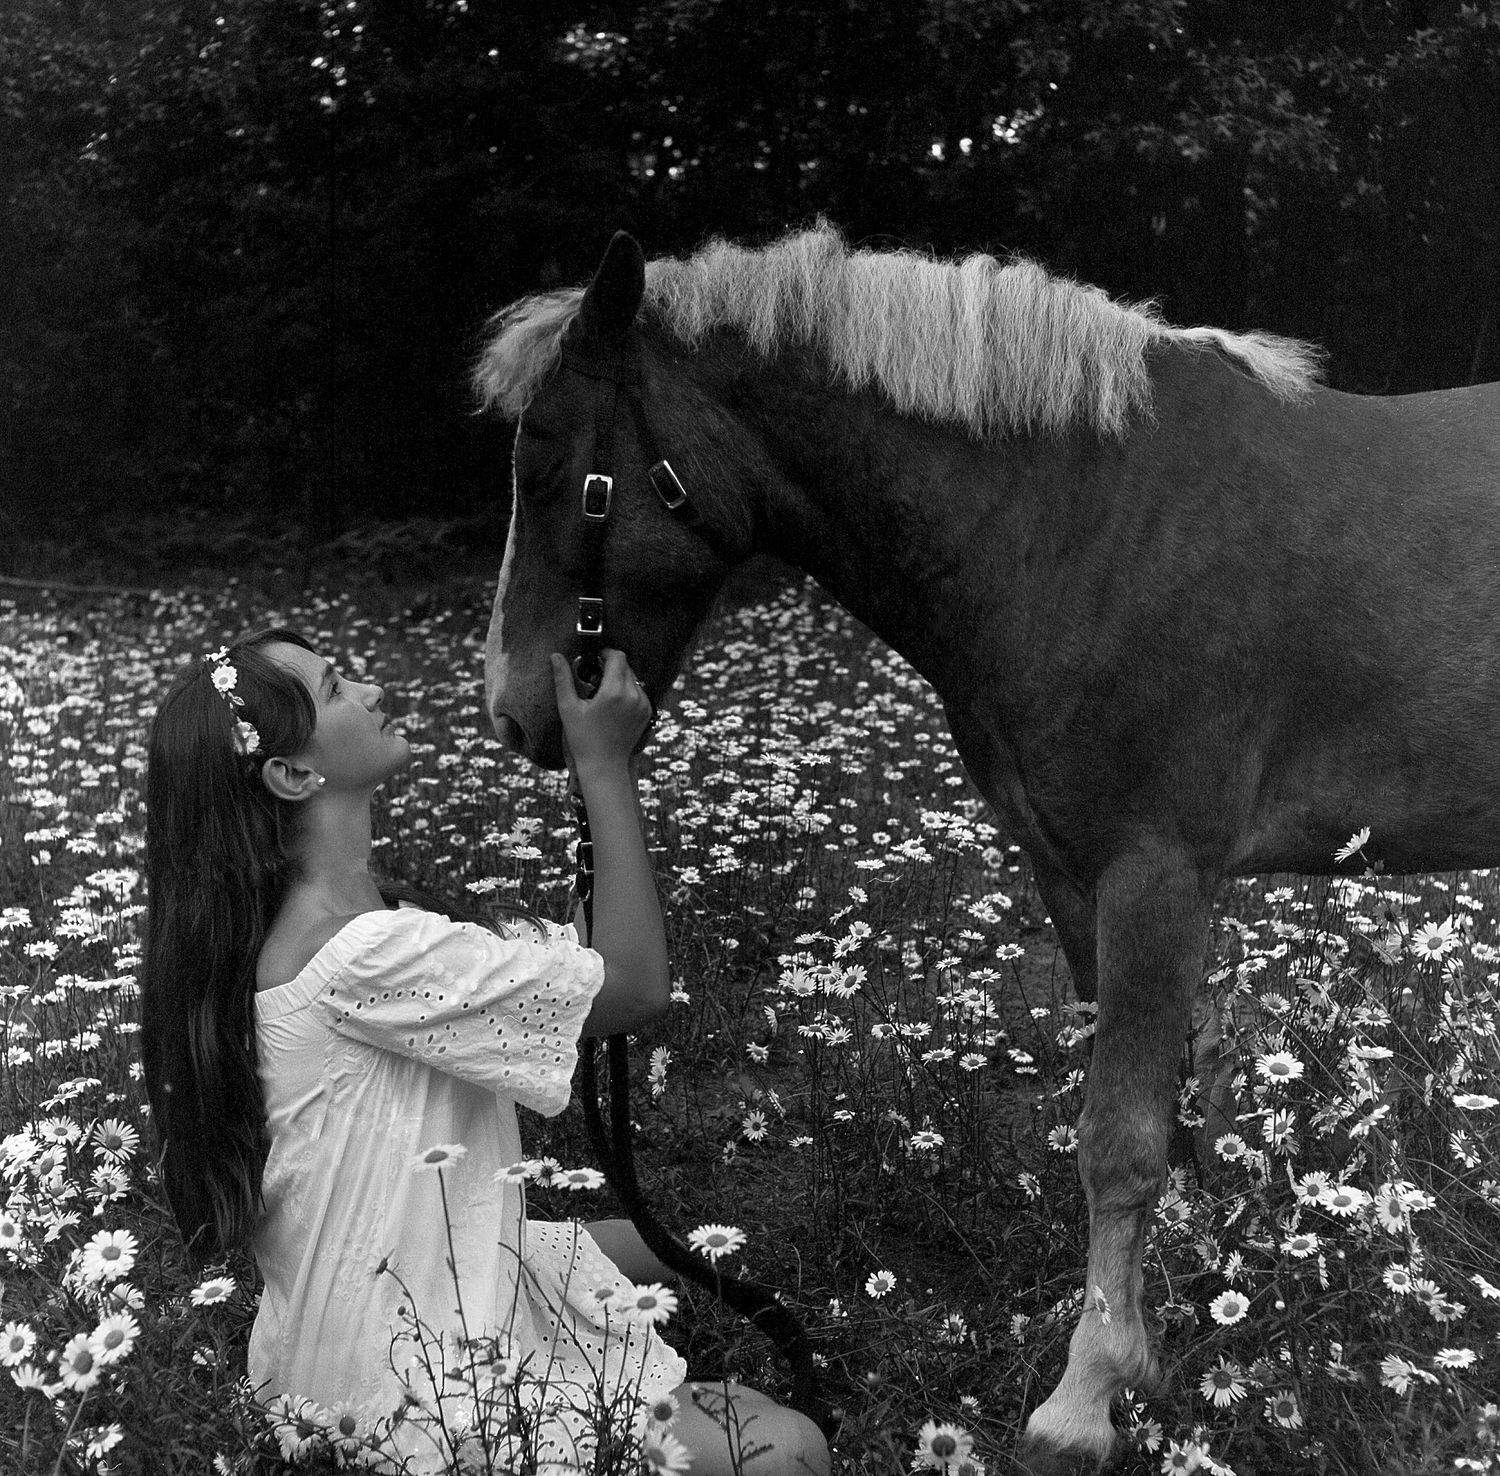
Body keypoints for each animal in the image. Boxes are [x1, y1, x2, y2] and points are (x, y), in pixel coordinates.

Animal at [473, 220, 1500, 1472]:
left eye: (546, 466)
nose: (515, 712)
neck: (1079, 525)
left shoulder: (1155, 874)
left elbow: (1120, 1136)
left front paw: (1083, 1396)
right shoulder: (1074, 877)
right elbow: (1168, 1115)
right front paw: (1169, 1334)